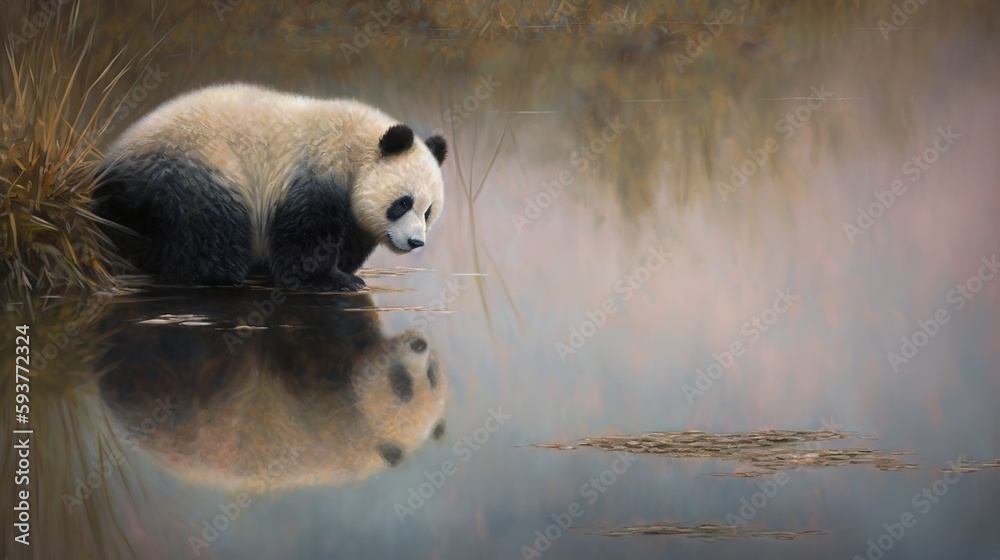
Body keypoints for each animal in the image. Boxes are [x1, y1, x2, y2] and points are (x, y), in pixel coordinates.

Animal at [93, 83, 447, 291]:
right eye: (403, 202)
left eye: (428, 211)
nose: (415, 242)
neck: (356, 150)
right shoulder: (312, 171)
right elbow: (305, 236)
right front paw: (336, 280)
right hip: (190, 168)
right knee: (208, 224)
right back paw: (218, 273)